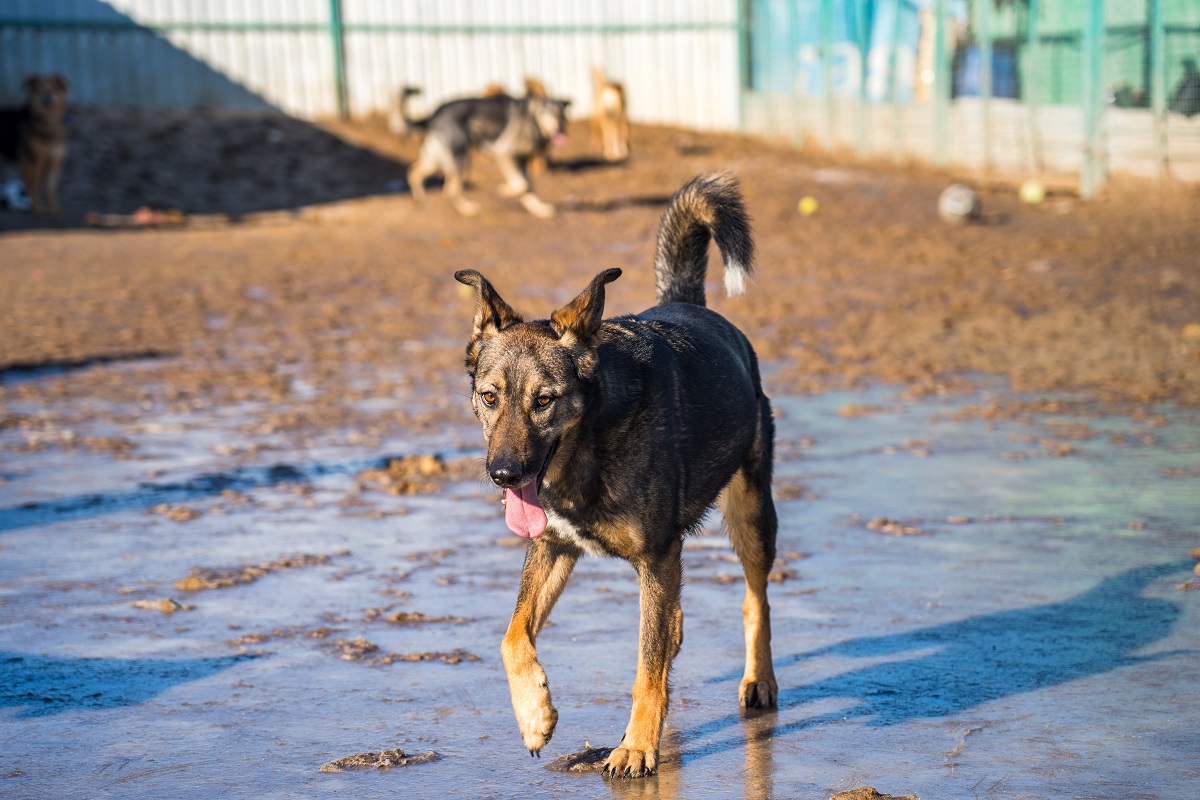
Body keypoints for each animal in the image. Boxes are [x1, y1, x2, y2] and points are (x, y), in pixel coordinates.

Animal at [0, 72, 69, 214]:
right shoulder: (32, 161)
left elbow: (51, 188)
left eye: (53, 89)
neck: (47, 124)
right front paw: (37, 209)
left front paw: (54, 209)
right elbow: (34, 186)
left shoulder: (55, 162)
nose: (47, 99)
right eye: (39, 90)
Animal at [400, 81, 568, 219]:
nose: (560, 129)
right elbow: (521, 184)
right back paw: (466, 209)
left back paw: (419, 200)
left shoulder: (521, 161)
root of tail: (432, 117)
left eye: (562, 115)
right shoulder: (503, 154)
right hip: (461, 160)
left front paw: (538, 208)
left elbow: (528, 185)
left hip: (435, 160)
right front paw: (506, 189)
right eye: (548, 113)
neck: (532, 119)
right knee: (449, 189)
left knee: (413, 173)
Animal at [451, 172, 777, 777]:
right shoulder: (553, 546)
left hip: (751, 510)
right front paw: (535, 715)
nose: (504, 474)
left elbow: (646, 667)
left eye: (544, 401)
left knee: (754, 597)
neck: (592, 440)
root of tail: (686, 302)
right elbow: (512, 634)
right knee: (675, 626)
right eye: (489, 397)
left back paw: (759, 680)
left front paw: (637, 746)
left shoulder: (658, 556)